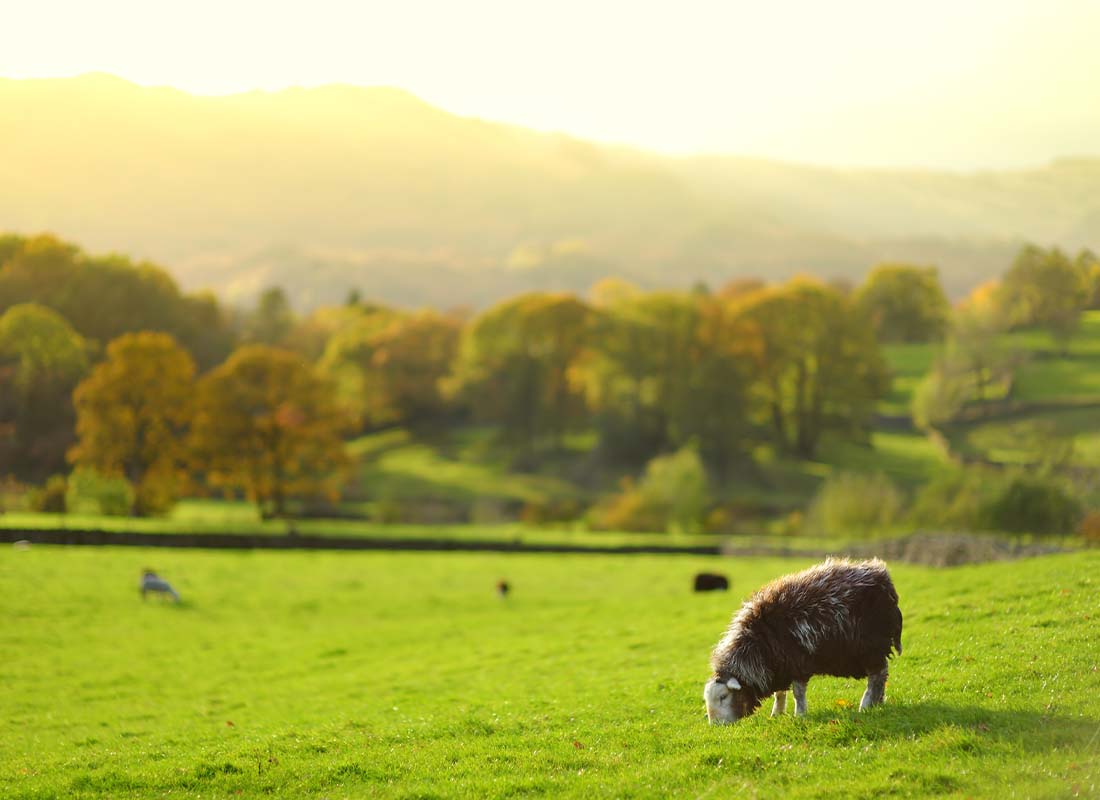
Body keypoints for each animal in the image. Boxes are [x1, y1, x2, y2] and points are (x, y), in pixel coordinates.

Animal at [704, 556, 902, 726]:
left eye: (723, 697)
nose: (716, 726)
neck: (756, 647)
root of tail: (883, 576)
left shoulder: (797, 663)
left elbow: (797, 693)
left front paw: (799, 714)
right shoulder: (779, 667)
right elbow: (779, 693)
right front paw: (776, 714)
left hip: (871, 647)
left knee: (877, 675)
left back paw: (866, 706)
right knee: (882, 675)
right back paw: (878, 703)